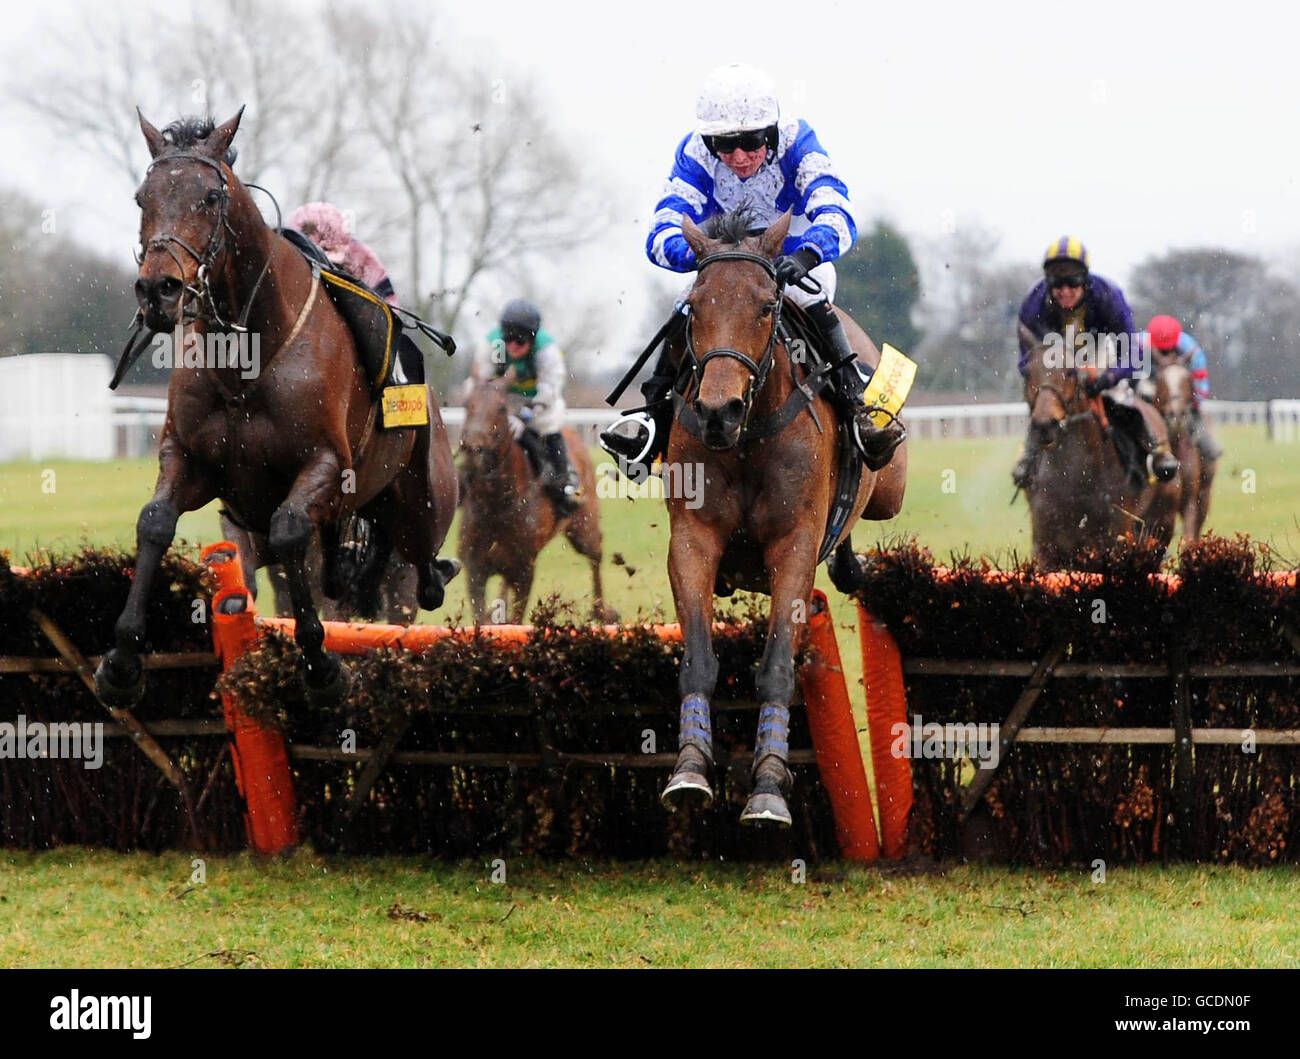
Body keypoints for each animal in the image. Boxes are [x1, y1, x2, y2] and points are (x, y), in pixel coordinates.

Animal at [92, 107, 457, 706]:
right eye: (142, 197)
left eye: (209, 197)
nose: (159, 290)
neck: (248, 358)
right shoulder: (189, 460)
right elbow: (155, 522)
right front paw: (122, 660)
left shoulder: (326, 465)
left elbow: (290, 527)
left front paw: (322, 665)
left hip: (420, 504)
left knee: (421, 573)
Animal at [460, 376, 616, 626]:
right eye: (467, 404)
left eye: (501, 408)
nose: (473, 447)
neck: (497, 503)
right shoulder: (475, 567)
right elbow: (480, 616)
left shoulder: (525, 569)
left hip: (584, 528)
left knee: (596, 555)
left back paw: (601, 612)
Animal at [660, 209, 904, 826]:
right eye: (696, 305)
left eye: (767, 304)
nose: (718, 412)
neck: (746, 439)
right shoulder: (692, 540)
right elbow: (698, 660)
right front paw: (689, 769)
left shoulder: (793, 546)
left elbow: (776, 665)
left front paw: (769, 786)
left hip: (889, 488)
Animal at [1024, 323, 1180, 571]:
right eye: (1027, 372)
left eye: (1070, 372)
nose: (1045, 424)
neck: (1074, 479)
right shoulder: (1046, 549)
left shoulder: (1115, 541)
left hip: (1160, 528)